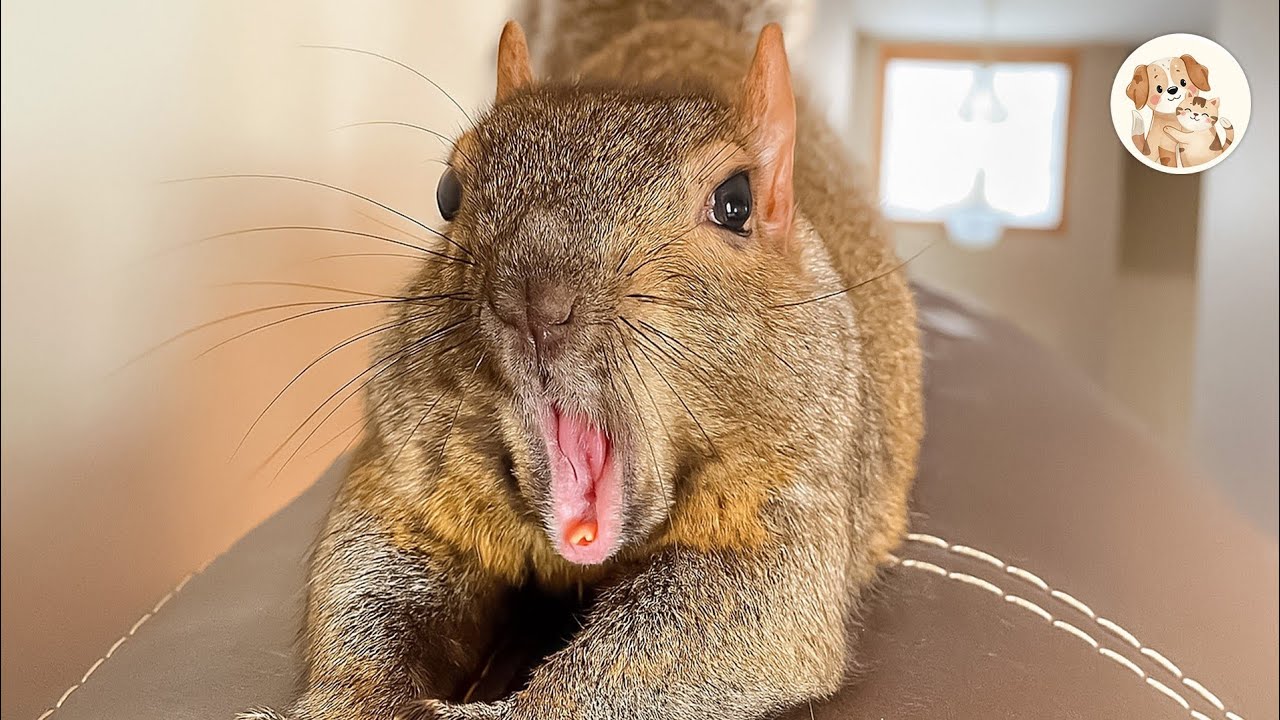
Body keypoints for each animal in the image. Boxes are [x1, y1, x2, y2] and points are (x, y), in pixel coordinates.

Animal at [242, 3, 922, 719]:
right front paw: (348, 699)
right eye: (448, 191)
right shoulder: (413, 470)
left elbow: (714, 626)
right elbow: (370, 570)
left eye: (736, 201)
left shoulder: (789, 498)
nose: (534, 298)